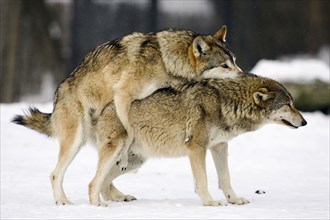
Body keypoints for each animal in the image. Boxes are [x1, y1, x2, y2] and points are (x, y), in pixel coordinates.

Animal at [11, 25, 241, 205]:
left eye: (234, 61)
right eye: (224, 65)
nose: (242, 75)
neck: (165, 60)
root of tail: (57, 95)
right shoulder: (122, 95)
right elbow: (128, 128)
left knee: (103, 179)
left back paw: (118, 196)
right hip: (76, 140)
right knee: (57, 174)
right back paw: (63, 200)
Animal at [12, 72, 306, 206]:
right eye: (288, 104)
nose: (304, 122)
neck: (226, 101)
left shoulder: (220, 147)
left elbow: (225, 179)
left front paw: (234, 200)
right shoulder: (196, 147)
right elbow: (204, 181)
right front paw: (210, 203)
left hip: (132, 160)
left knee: (103, 182)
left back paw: (119, 198)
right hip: (96, 147)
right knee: (82, 180)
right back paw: (85, 204)